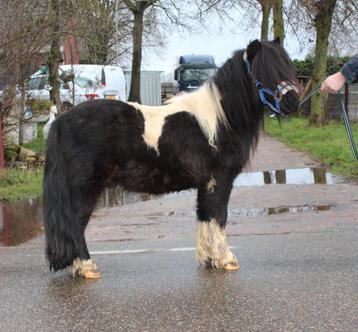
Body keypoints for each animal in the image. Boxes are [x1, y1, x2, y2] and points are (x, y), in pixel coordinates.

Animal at [43, 39, 300, 278]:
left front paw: (209, 259)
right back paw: (87, 267)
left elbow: (205, 216)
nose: (293, 102)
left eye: (286, 66)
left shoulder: (206, 183)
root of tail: (62, 121)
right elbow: (219, 216)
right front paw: (226, 259)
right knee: (75, 223)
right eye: (264, 70)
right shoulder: (220, 180)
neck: (219, 121)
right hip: (85, 187)